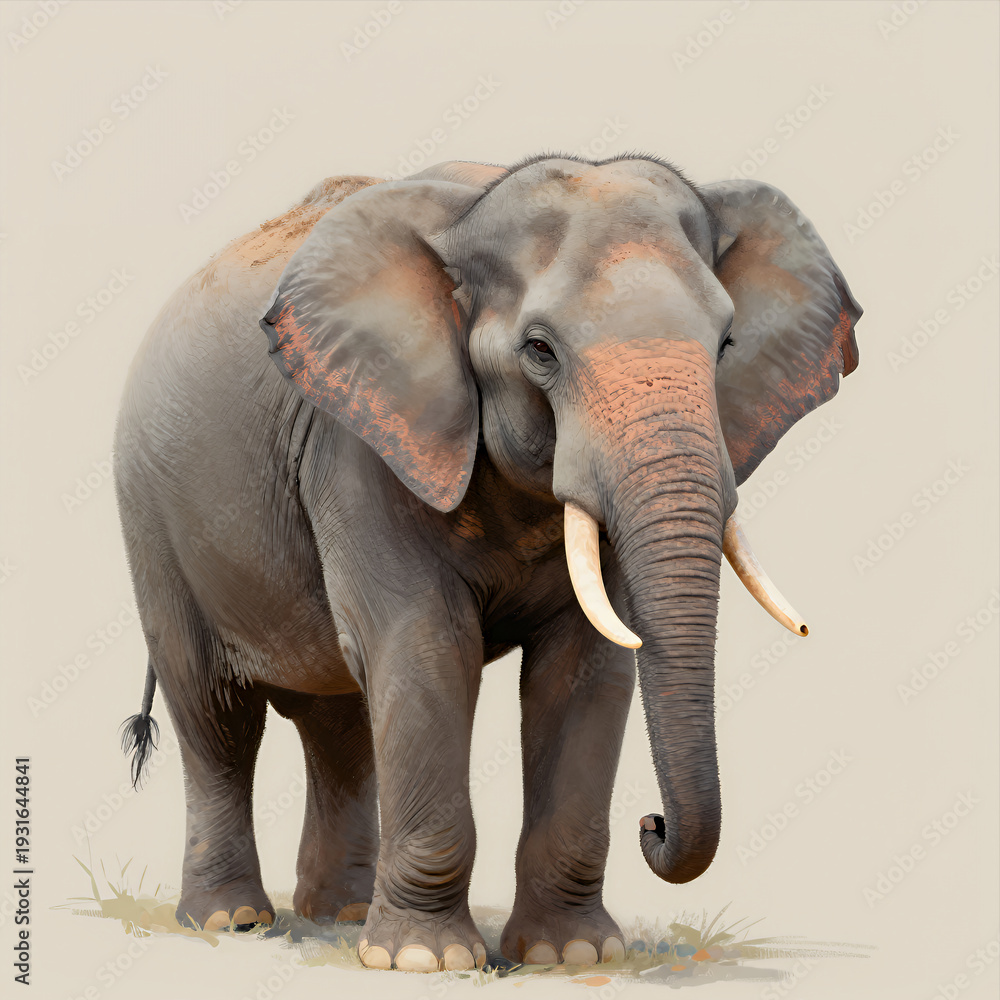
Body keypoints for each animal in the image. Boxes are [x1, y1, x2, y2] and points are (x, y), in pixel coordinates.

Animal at [115, 153, 860, 972]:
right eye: (540, 349)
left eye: (726, 344)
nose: (653, 825)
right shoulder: (363, 444)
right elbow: (428, 650)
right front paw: (424, 963)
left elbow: (587, 664)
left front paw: (572, 957)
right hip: (153, 520)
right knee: (215, 713)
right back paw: (231, 921)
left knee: (338, 720)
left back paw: (341, 915)